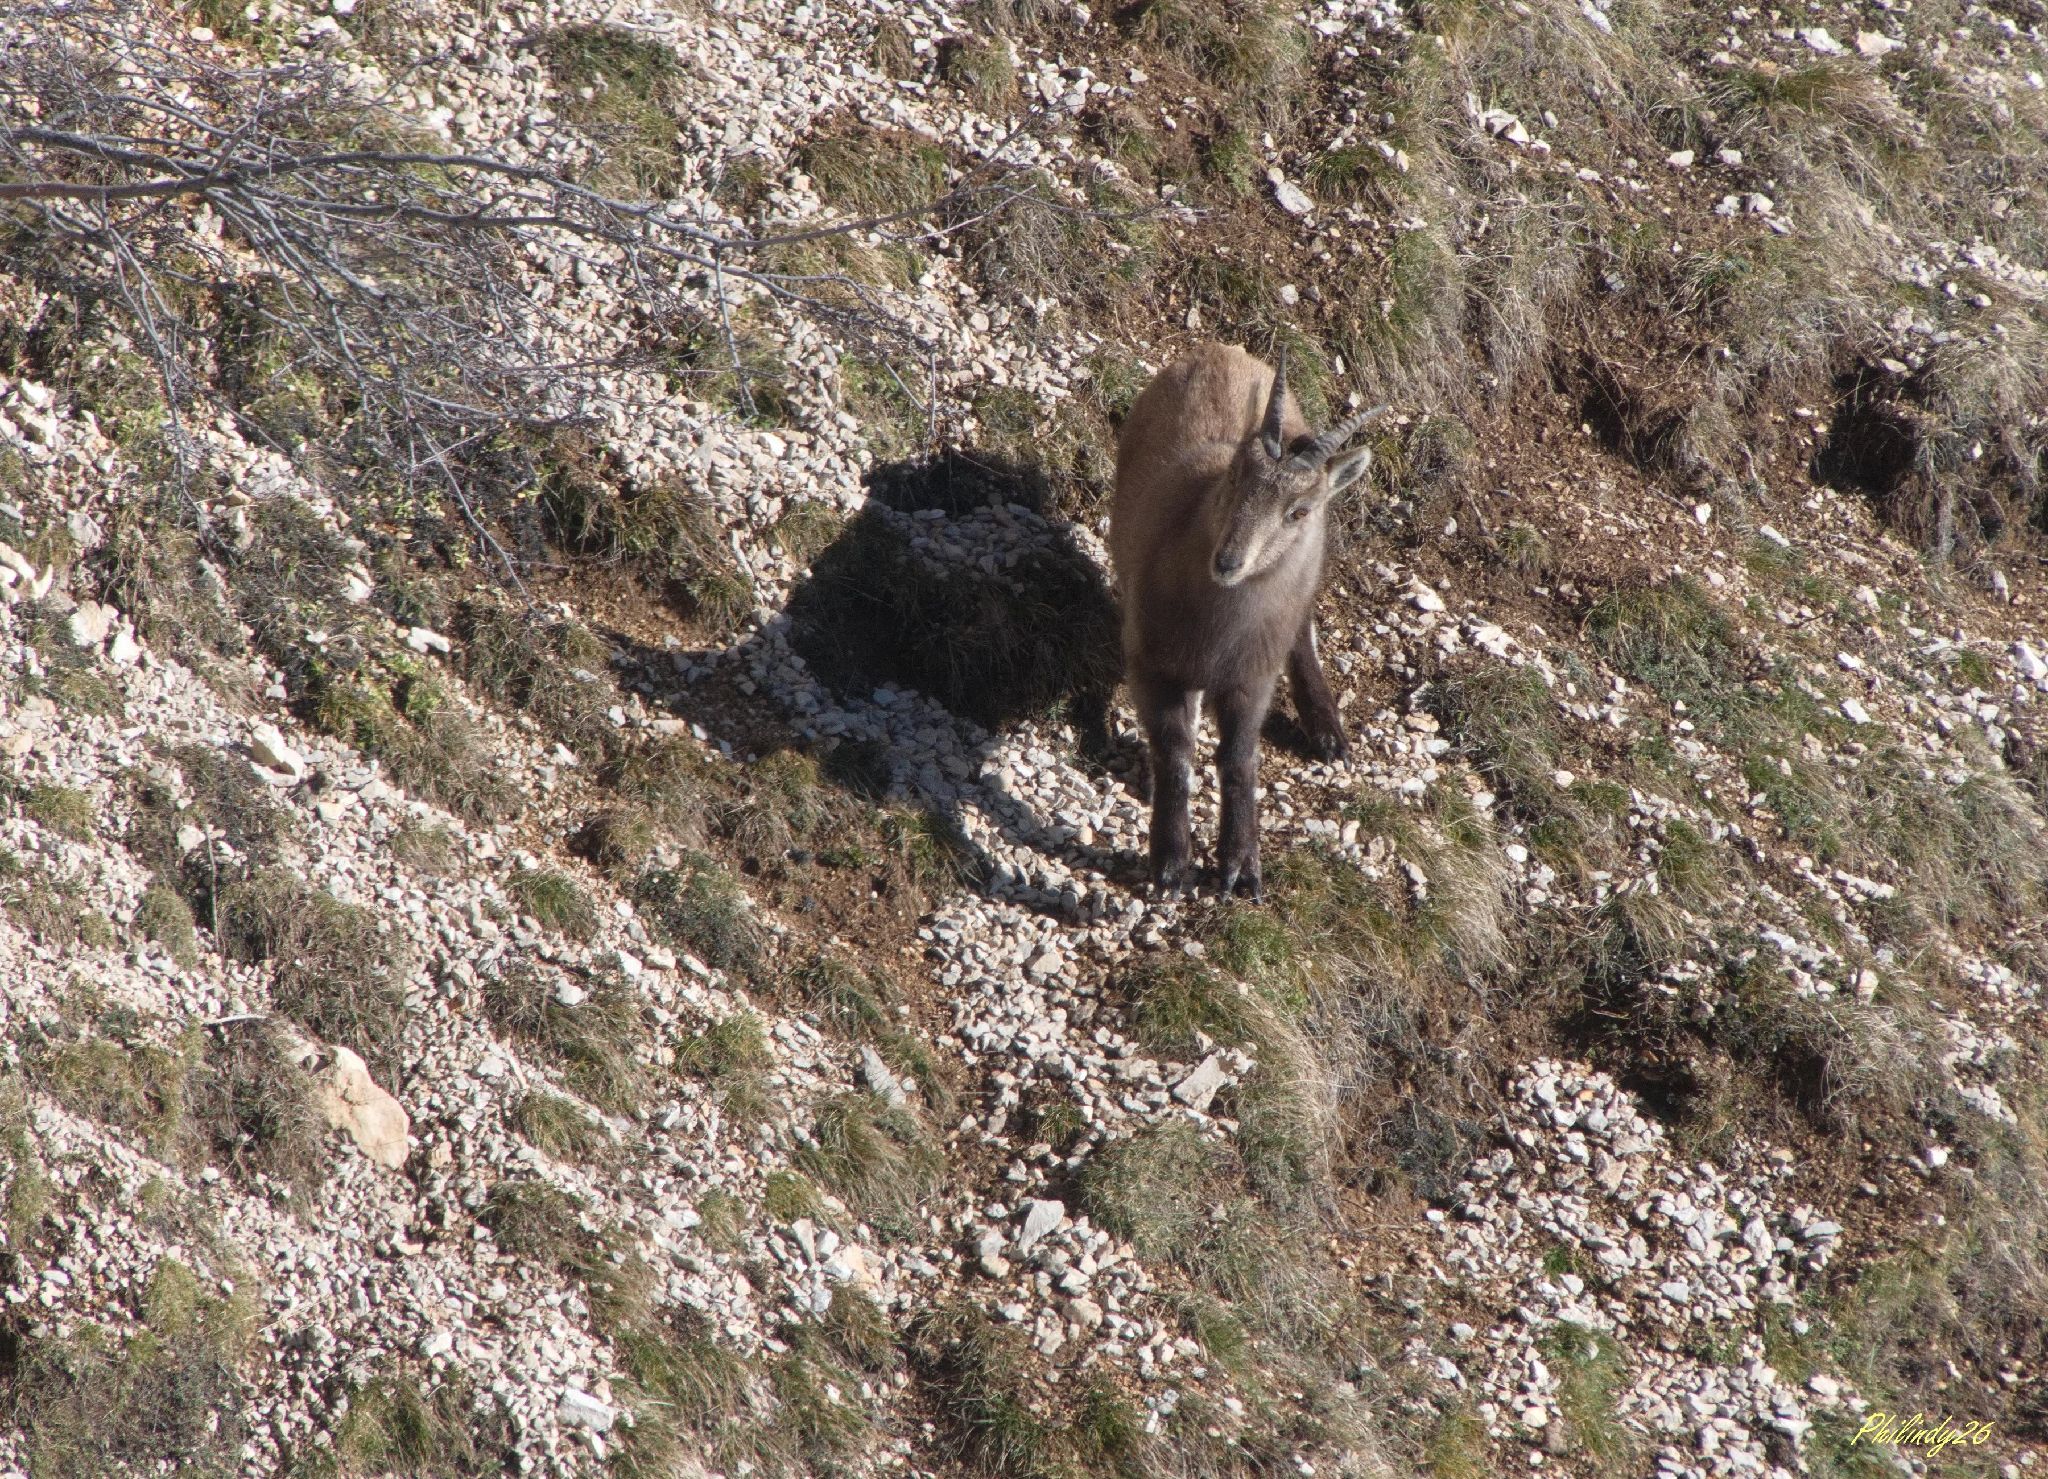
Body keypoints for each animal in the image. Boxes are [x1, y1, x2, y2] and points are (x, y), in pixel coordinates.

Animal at [1110, 343, 1385, 899]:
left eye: (1299, 510)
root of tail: (1224, 350)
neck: (1216, 630)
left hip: (1303, 583)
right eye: (1237, 474)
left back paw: (1328, 732)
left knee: (1301, 629)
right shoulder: (1152, 661)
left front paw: (1241, 866)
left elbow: (1239, 759)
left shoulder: (1250, 678)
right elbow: (1175, 751)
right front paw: (1170, 863)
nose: (1228, 561)